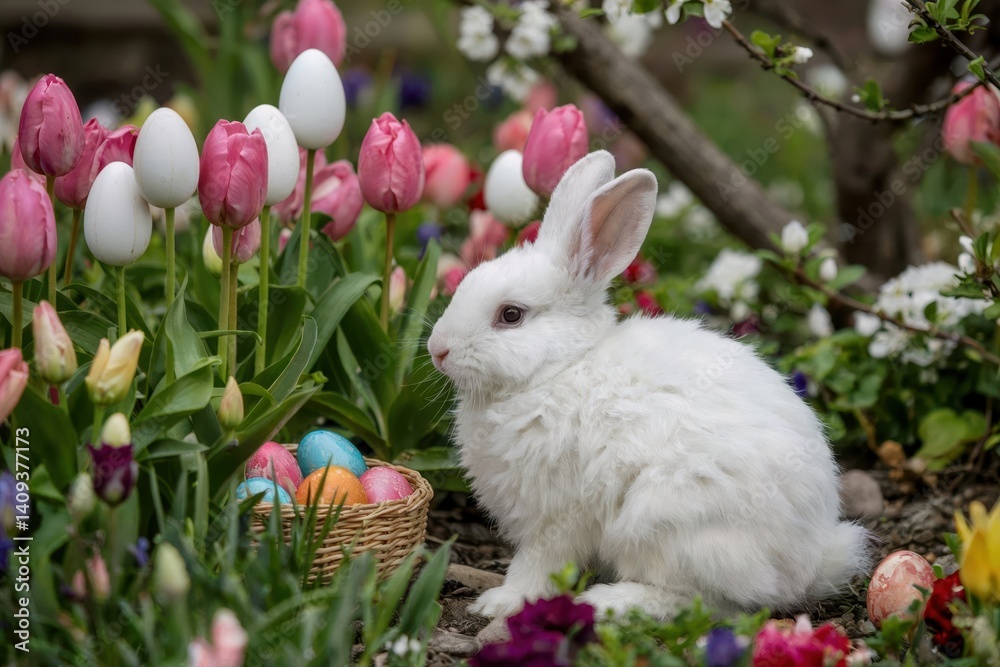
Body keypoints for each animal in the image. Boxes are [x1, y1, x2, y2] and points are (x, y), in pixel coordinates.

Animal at [426, 150, 870, 621]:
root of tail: (808, 566)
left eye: (510, 315)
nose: (438, 349)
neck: (558, 370)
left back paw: (610, 601)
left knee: (708, 602)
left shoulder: (557, 517)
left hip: (663, 524)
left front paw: (501, 602)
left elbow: (538, 563)